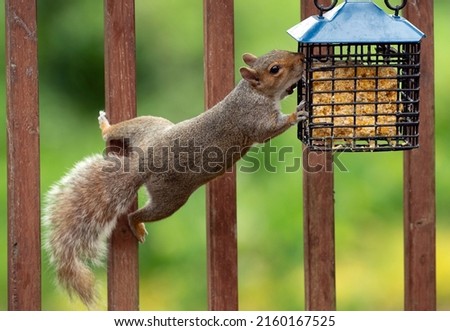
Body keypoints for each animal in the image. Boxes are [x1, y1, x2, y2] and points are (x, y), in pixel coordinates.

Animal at [42, 49, 306, 308]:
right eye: (275, 69)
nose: (301, 58)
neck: (252, 92)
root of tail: (142, 163)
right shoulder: (255, 120)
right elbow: (268, 131)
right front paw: (297, 114)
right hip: (170, 198)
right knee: (134, 215)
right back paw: (136, 226)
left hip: (149, 125)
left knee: (116, 133)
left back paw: (106, 126)